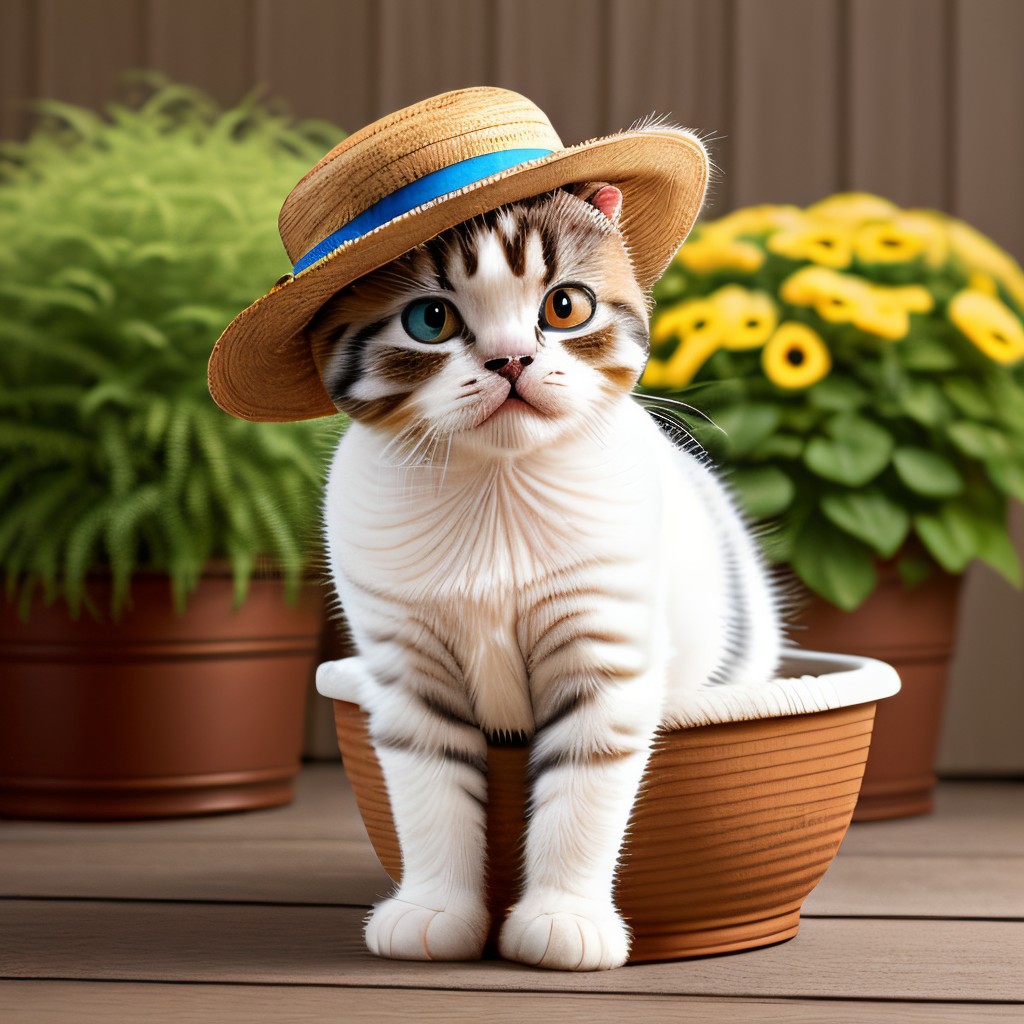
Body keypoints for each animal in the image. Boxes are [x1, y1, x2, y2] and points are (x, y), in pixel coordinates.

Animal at [311, 180, 782, 970]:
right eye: (429, 319)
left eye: (565, 307)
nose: (511, 359)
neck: (498, 490)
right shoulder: (405, 665)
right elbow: (428, 789)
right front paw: (434, 909)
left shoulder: (605, 646)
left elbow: (582, 794)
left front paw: (566, 920)